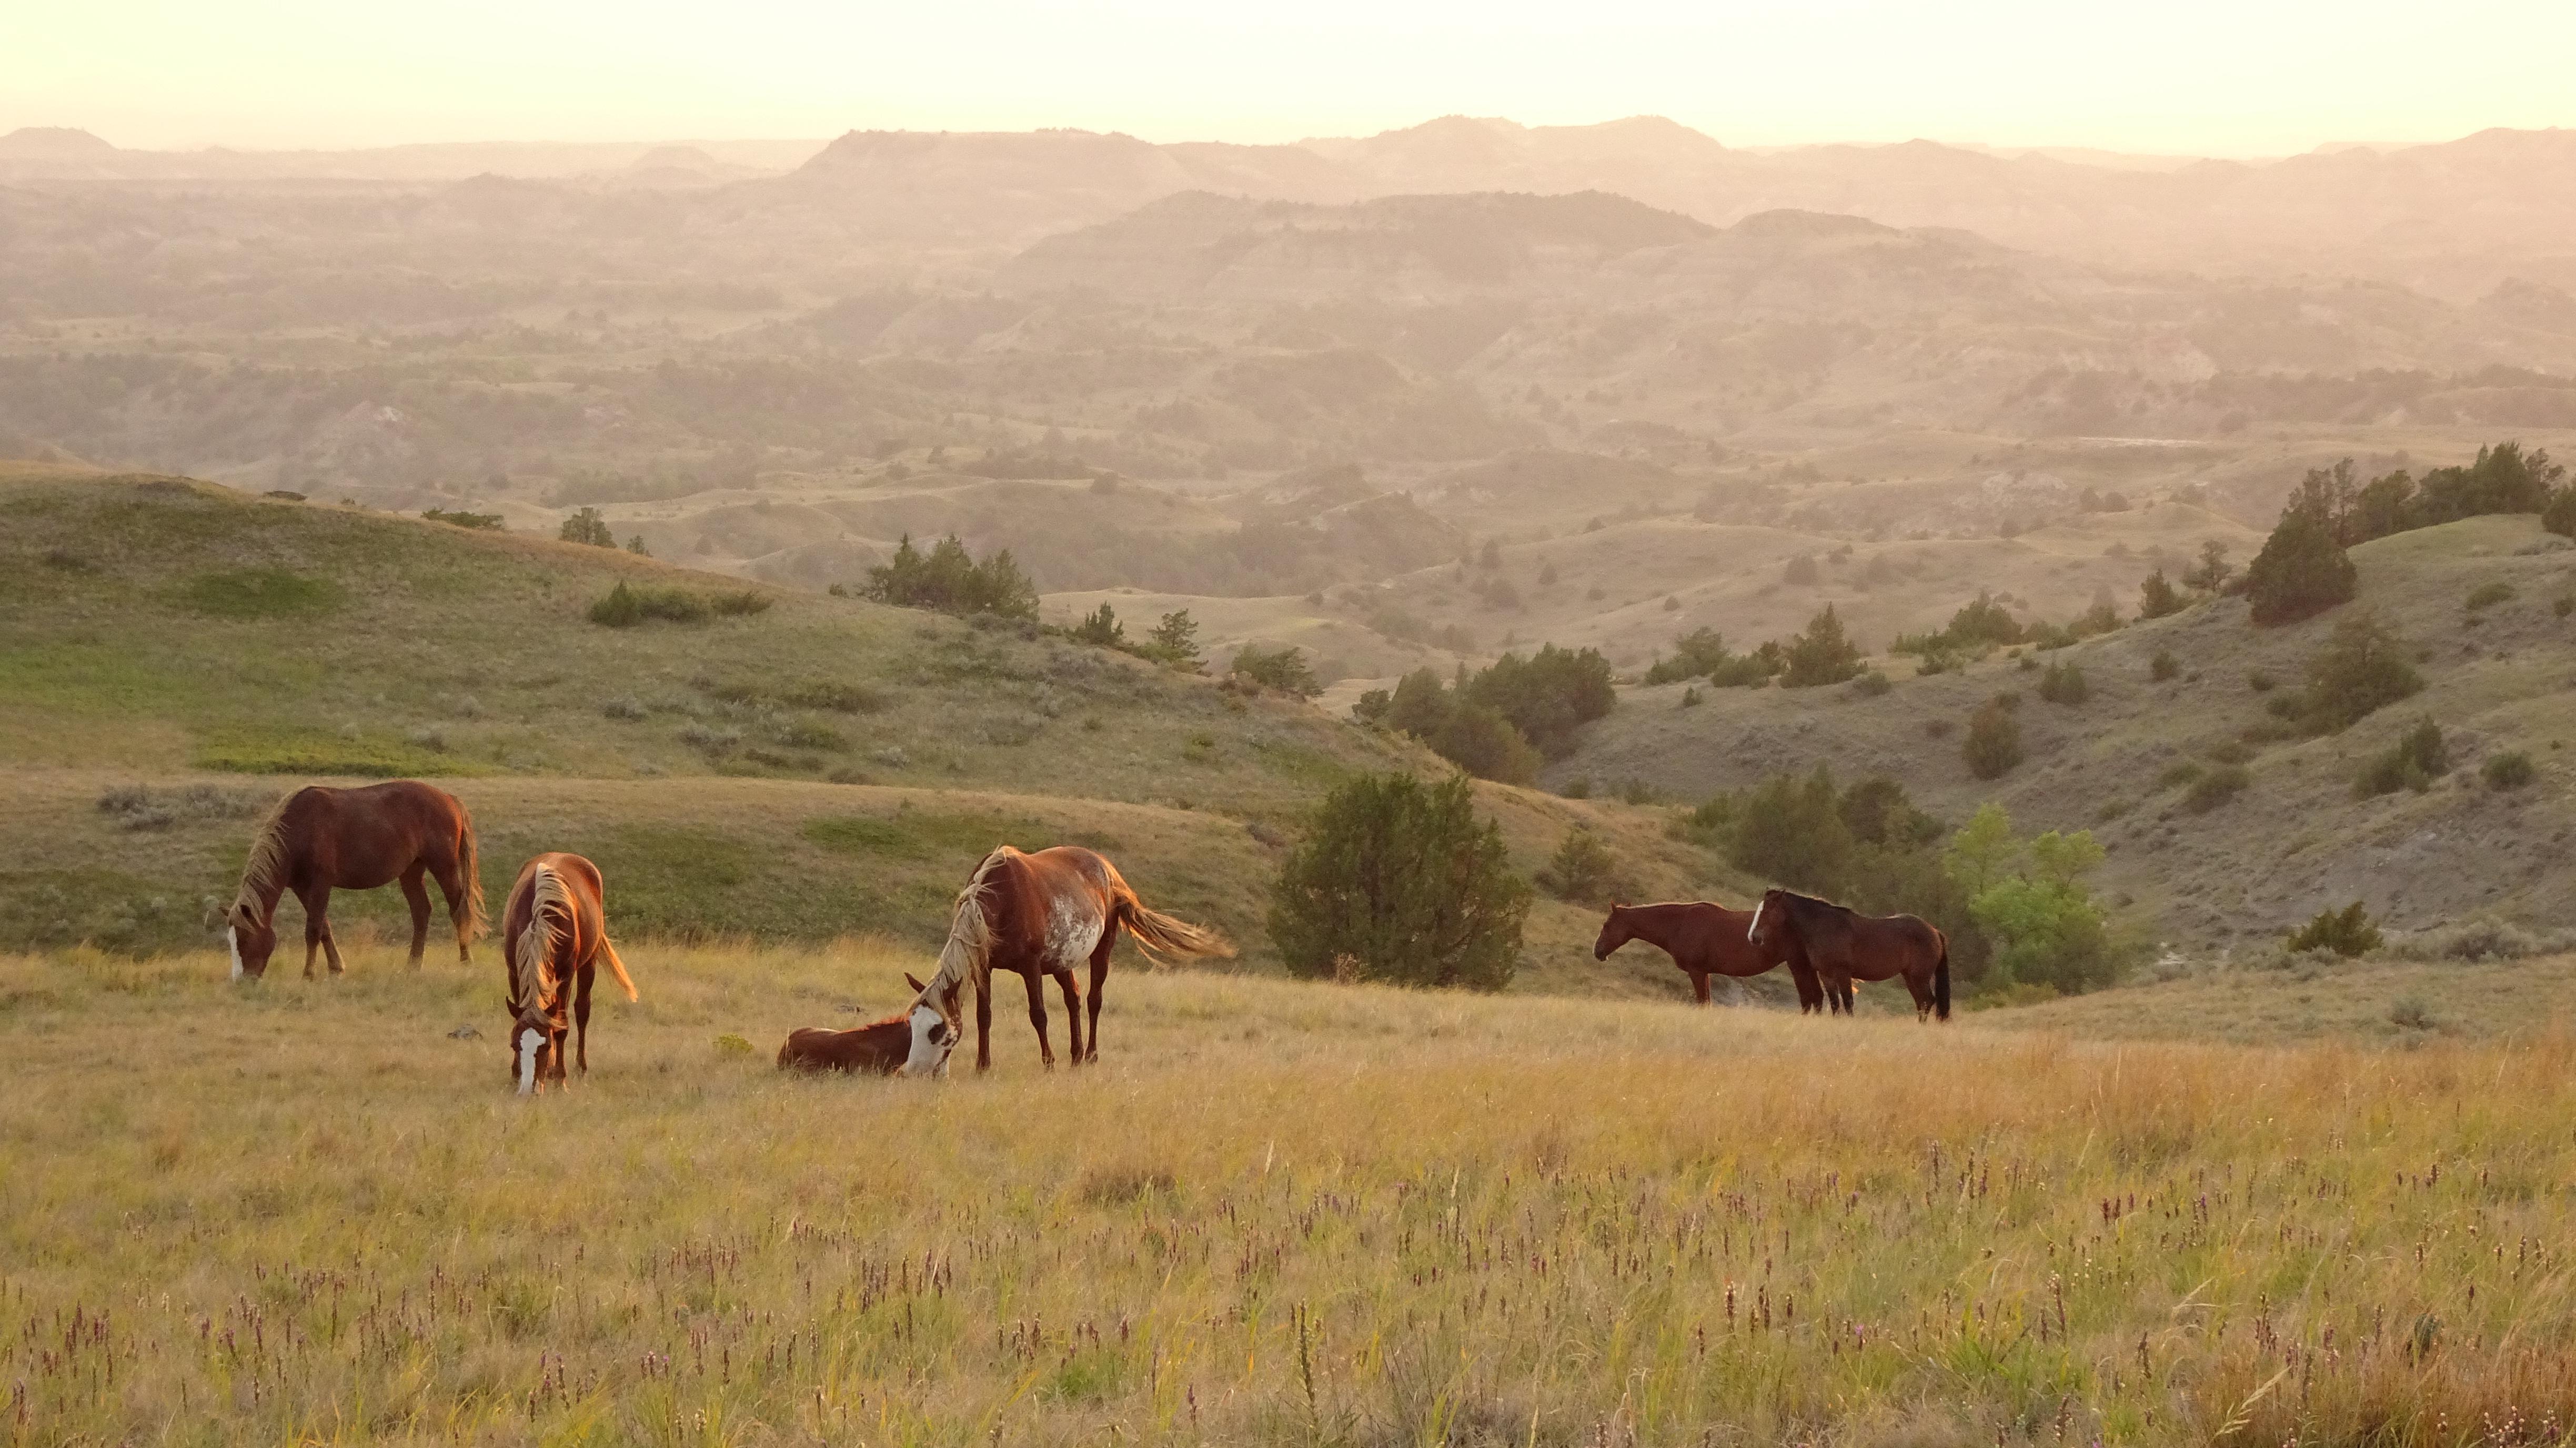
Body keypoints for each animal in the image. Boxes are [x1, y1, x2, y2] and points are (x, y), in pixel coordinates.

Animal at [225, 781, 484, 981]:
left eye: (244, 940)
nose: (242, 981)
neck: (300, 829)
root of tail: (449, 798)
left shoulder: (320, 885)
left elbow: (313, 929)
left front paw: (309, 974)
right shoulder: (302, 888)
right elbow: (325, 928)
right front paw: (335, 968)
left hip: (444, 867)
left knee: (458, 910)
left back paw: (466, 961)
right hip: (411, 872)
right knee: (421, 912)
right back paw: (413, 965)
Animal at [501, 853, 638, 1094]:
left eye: (545, 1045)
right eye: (515, 1044)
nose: (528, 1089)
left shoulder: (566, 974)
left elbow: (562, 1027)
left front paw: (560, 1077)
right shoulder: (514, 972)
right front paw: (516, 1072)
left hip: (588, 964)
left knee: (582, 1011)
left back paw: (579, 1067)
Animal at [910, 845, 1232, 1071]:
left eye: (937, 1031)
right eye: (913, 1026)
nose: (913, 1071)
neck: (1001, 899)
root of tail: (1110, 871)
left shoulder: (1030, 967)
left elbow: (1038, 1014)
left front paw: (1049, 1062)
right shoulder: (984, 967)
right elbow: (984, 1015)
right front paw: (983, 1065)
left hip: (1101, 951)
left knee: (1093, 1000)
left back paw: (1090, 1055)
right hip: (1061, 963)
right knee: (1073, 999)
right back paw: (1076, 1055)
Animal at [1593, 901, 1826, 1011]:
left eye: (1607, 925)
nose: (1597, 951)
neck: (1679, 924)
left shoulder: (1697, 971)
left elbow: (1703, 1002)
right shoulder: (1705, 972)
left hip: (1799, 966)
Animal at [1745, 888, 1950, 1021]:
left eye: (1768, 910)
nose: (1753, 937)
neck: (1823, 927)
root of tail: (1935, 932)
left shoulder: (1843, 974)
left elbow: (1848, 1003)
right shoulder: (1826, 975)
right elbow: (1835, 1003)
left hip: (1919, 978)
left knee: (1927, 1001)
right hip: (1910, 978)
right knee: (1922, 1003)